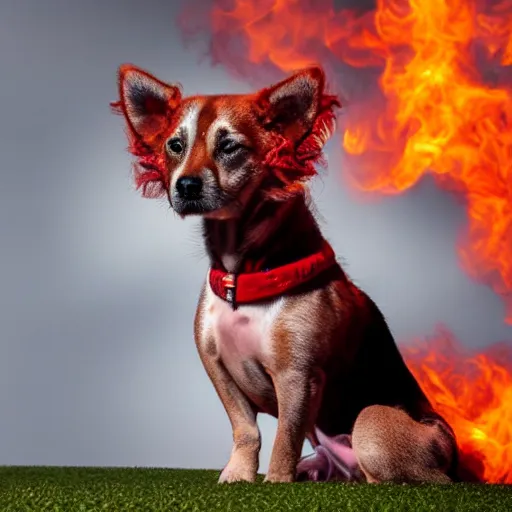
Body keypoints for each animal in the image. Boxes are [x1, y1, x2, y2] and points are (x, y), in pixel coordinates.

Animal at [112, 64, 464, 484]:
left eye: (230, 147)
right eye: (174, 146)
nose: (186, 185)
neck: (244, 272)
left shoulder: (297, 376)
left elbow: (286, 436)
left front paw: (277, 481)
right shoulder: (217, 367)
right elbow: (245, 428)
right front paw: (239, 473)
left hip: (375, 426)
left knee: (415, 474)